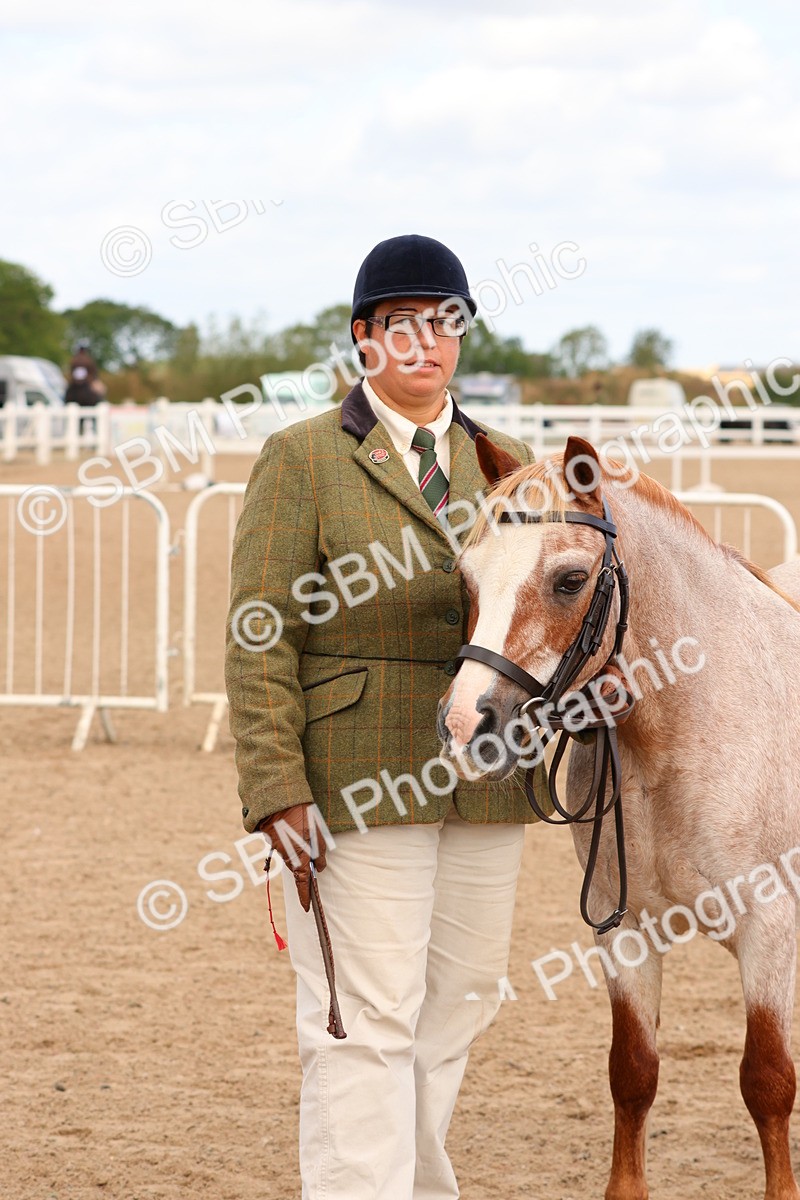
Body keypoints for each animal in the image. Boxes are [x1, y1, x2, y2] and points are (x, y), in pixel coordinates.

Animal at [436, 434, 800, 1200]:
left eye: (570, 580)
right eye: (469, 579)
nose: (464, 726)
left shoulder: (770, 927)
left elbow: (768, 1080)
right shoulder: (623, 928)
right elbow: (632, 1073)